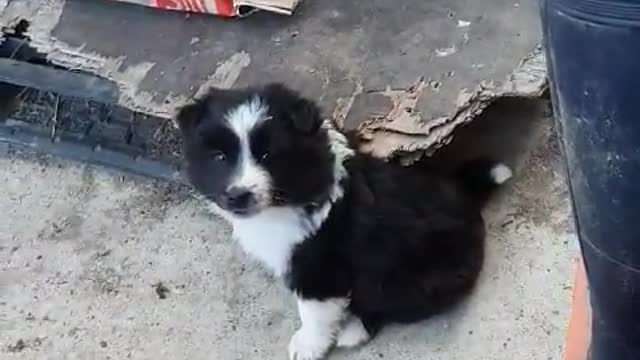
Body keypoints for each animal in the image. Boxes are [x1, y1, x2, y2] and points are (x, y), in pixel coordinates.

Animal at [176, 83, 516, 360]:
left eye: (268, 155)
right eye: (219, 157)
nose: (238, 195)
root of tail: (466, 195)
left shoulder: (319, 267)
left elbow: (313, 312)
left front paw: (308, 346)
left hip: (414, 277)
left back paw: (354, 330)